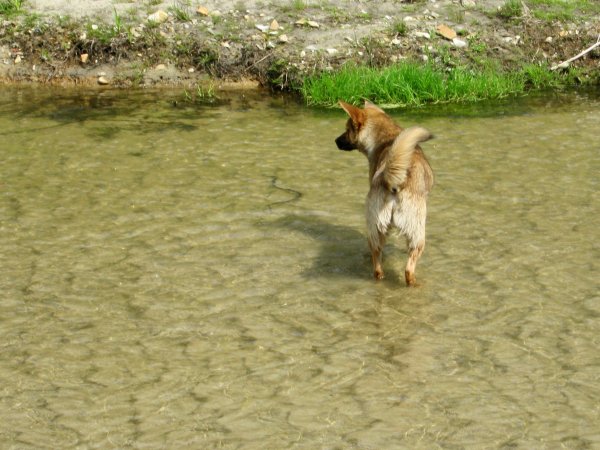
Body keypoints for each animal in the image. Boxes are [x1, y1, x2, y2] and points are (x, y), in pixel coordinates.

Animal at [336, 100, 434, 286]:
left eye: (347, 129)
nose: (336, 141)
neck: (388, 136)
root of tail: (393, 183)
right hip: (417, 233)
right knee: (408, 269)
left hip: (375, 229)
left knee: (377, 266)